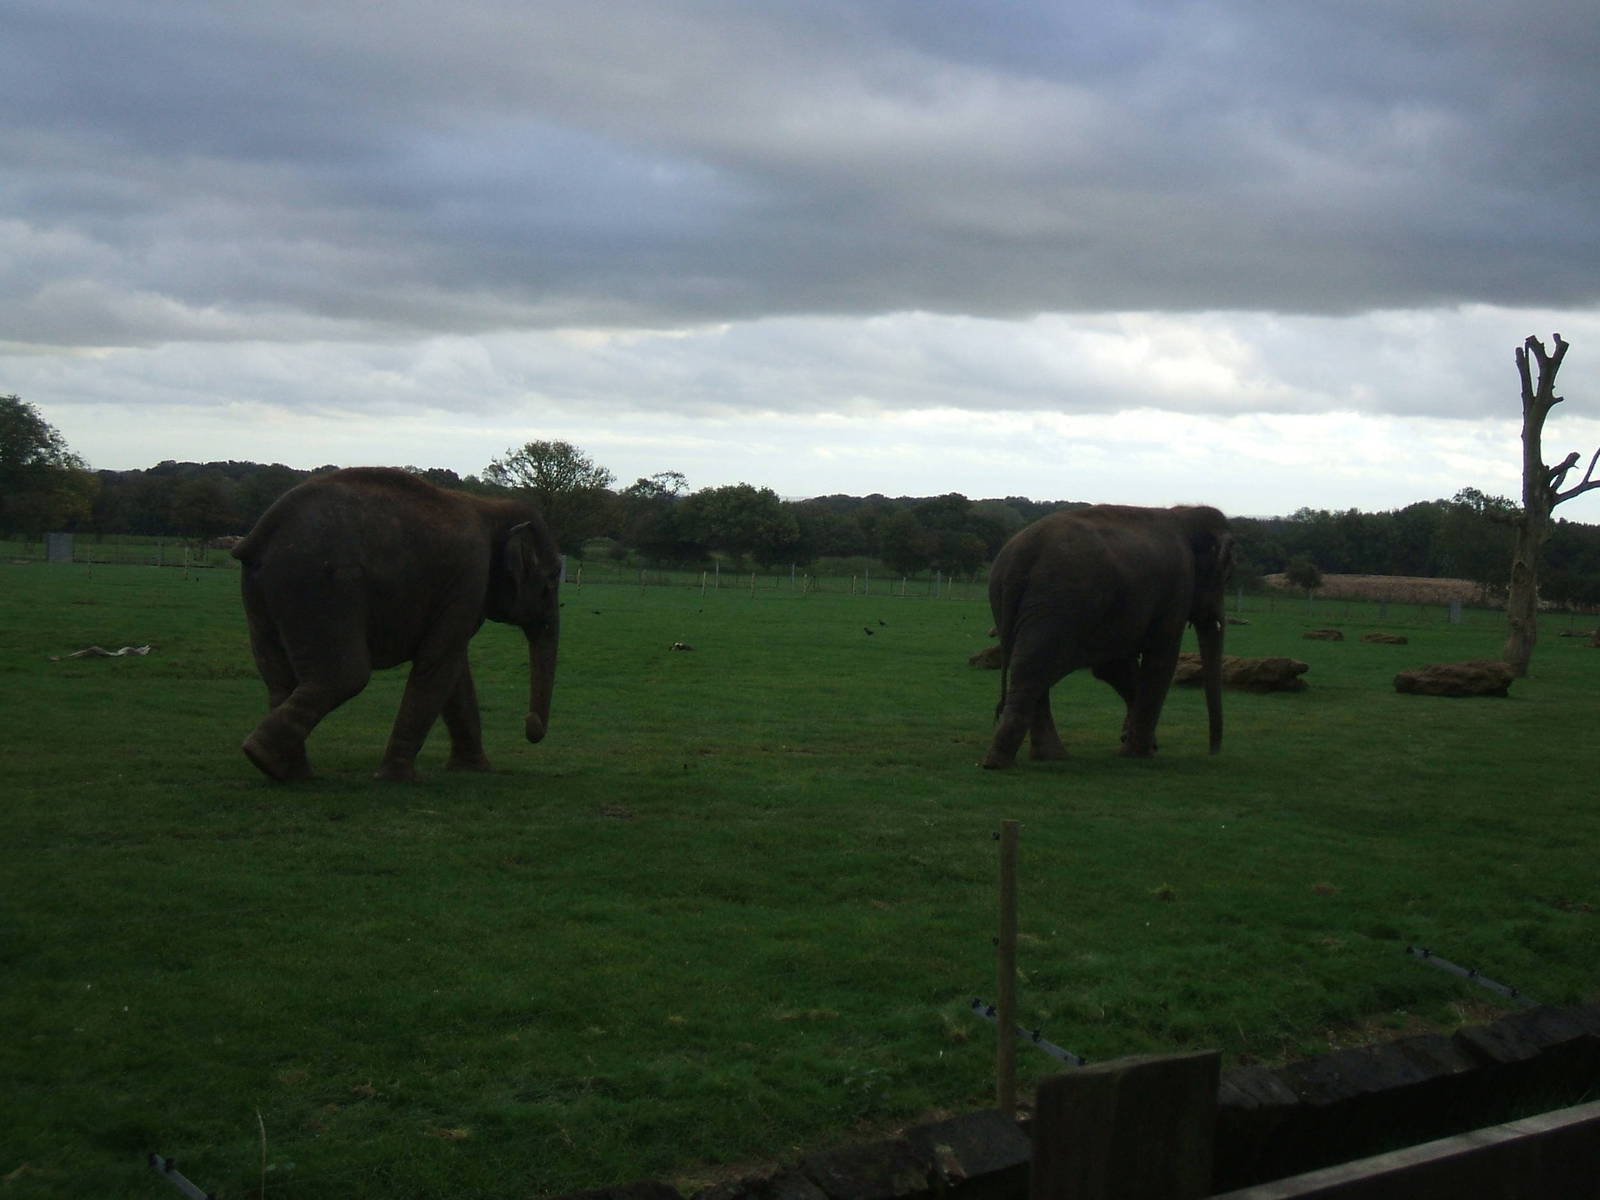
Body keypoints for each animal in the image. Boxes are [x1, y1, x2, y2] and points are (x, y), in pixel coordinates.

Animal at [232, 467, 561, 782]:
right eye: (548, 588)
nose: (530, 727)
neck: (491, 506)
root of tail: (260, 536)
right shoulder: (469, 577)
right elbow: (439, 663)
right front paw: (397, 778)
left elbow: (453, 670)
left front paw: (474, 769)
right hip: (322, 587)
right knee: (344, 676)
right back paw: (262, 757)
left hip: (264, 593)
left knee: (278, 678)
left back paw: (282, 771)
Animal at [981, 504, 1233, 769]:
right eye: (1225, 577)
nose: (1213, 751)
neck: (1184, 514)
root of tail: (1020, 557)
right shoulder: (1178, 587)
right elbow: (1159, 661)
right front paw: (1140, 753)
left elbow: (1115, 667)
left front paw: (1131, 742)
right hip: (1059, 603)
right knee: (1033, 669)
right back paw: (1000, 762)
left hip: (1010, 600)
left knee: (1030, 668)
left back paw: (1048, 757)